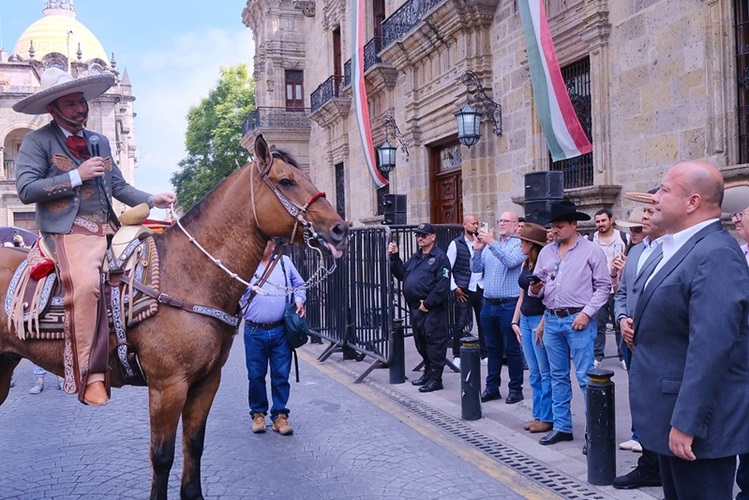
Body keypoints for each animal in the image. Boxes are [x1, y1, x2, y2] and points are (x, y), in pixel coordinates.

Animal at [0, 136, 348, 500]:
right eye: (286, 181)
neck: (189, 273)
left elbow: (193, 445)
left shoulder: (206, 382)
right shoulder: (167, 386)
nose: (340, 228)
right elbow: (162, 455)